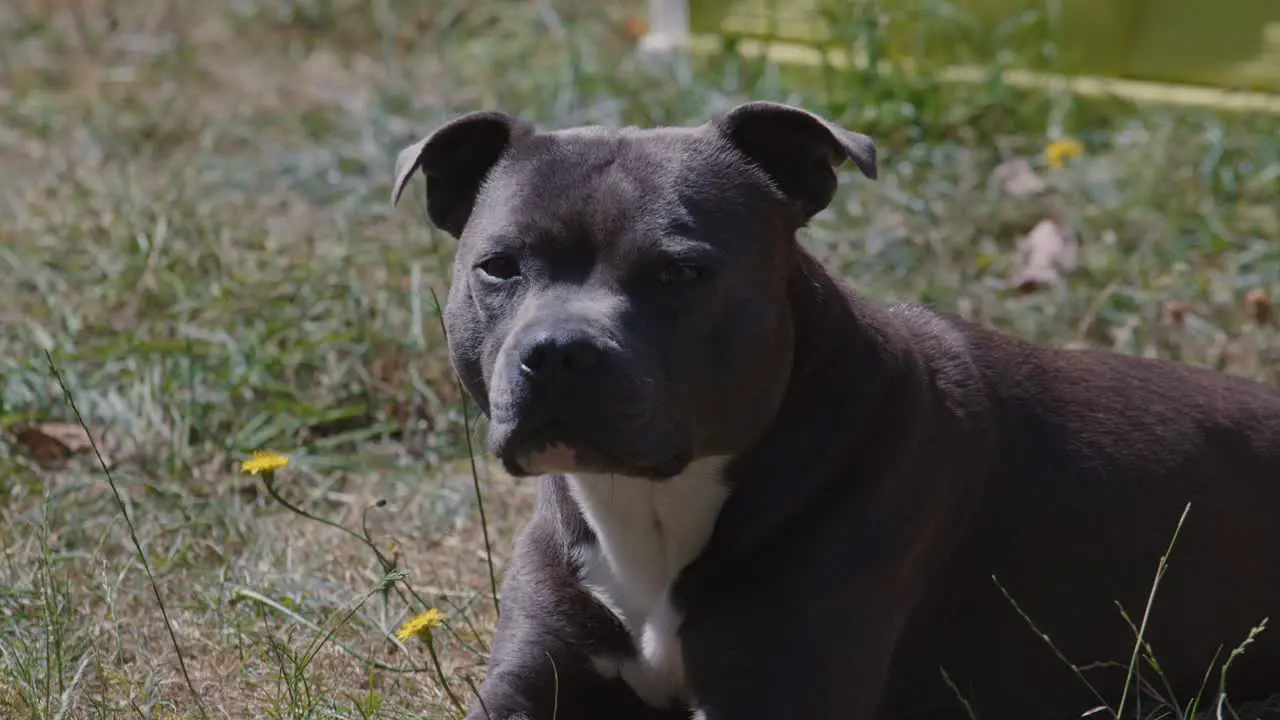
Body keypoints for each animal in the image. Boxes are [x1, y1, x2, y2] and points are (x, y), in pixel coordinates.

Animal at [389, 101, 1280, 717]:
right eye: (498, 267)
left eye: (679, 272)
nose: (558, 351)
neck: (653, 507)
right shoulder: (529, 681)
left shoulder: (779, 692)